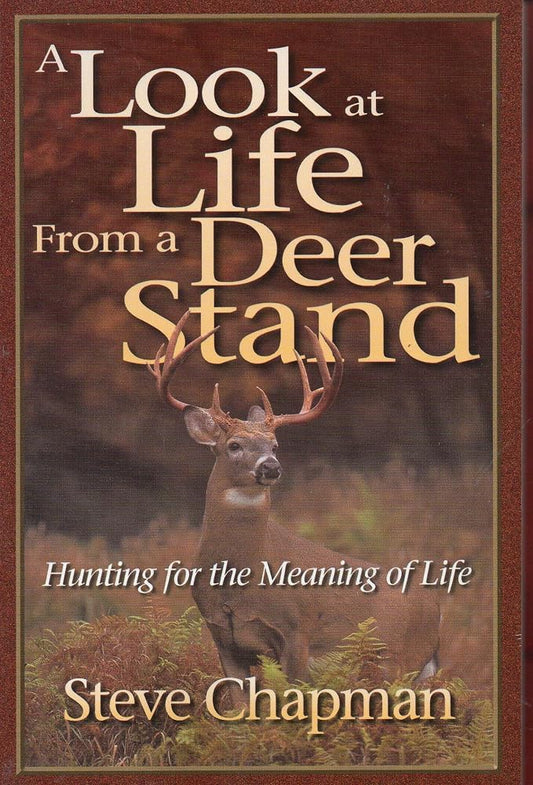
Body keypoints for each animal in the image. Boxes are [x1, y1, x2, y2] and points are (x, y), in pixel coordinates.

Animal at [148, 311, 441, 705]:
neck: (238, 583)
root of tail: (437, 610)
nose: (271, 467)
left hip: (398, 660)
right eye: (235, 445)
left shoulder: (296, 632)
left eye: (275, 444)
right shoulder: (224, 639)